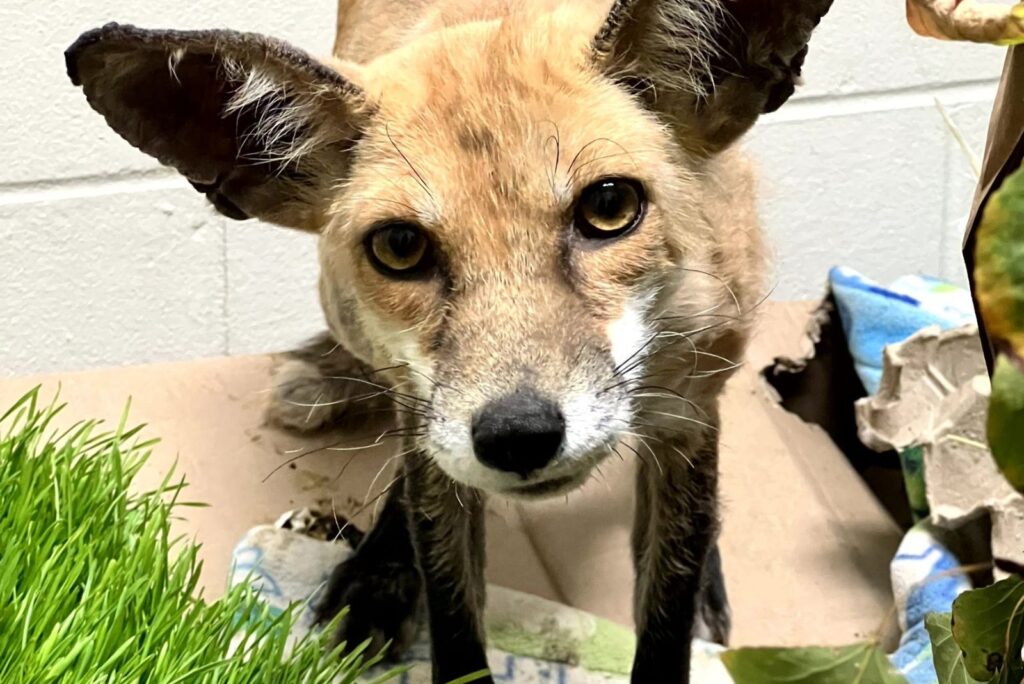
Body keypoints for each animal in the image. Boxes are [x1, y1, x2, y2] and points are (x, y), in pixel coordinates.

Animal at [66, 0, 832, 681]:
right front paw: (391, 577)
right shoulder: (427, 418)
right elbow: (451, 606)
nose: (518, 435)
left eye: (610, 207)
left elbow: (669, 607)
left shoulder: (688, 407)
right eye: (400, 247)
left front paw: (692, 592)